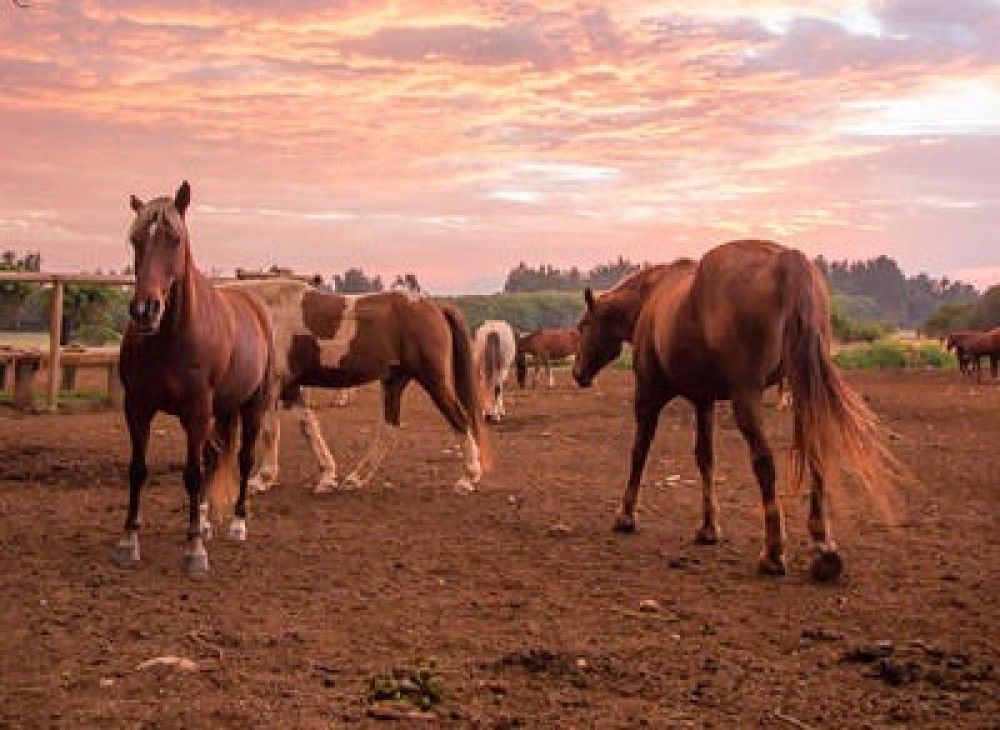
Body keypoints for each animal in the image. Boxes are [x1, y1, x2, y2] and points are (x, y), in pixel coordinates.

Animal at [114, 179, 274, 572]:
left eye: (175, 239)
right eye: (135, 239)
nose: (145, 309)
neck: (170, 337)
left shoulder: (197, 410)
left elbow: (192, 473)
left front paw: (195, 552)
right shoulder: (137, 407)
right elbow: (138, 469)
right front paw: (129, 541)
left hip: (252, 407)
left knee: (242, 459)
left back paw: (237, 524)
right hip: (220, 410)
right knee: (214, 457)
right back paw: (202, 521)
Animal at [226, 278, 492, 494]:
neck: (264, 314)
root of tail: (435, 307)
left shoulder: (272, 387)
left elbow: (270, 431)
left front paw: (262, 479)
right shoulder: (290, 389)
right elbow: (308, 427)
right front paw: (327, 475)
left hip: (433, 381)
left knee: (460, 420)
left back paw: (468, 478)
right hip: (393, 383)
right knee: (388, 430)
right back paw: (356, 478)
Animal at [572, 239, 900, 580]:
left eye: (583, 326)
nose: (577, 373)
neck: (652, 298)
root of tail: (786, 260)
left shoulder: (648, 396)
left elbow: (639, 452)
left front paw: (625, 516)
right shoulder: (703, 401)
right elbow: (705, 458)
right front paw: (708, 528)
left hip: (746, 398)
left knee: (765, 462)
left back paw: (773, 554)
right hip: (802, 393)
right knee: (815, 452)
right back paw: (824, 550)